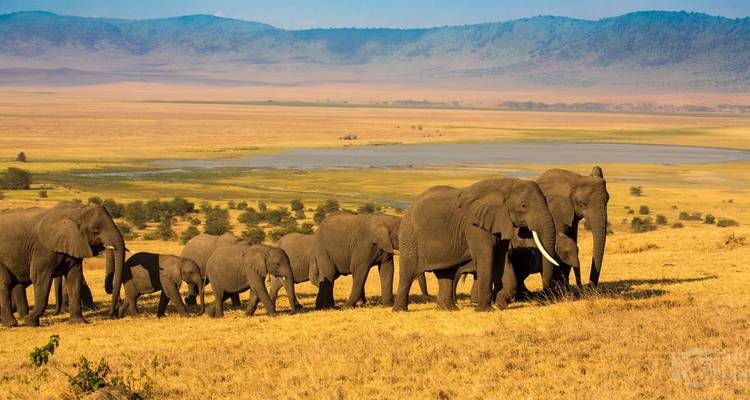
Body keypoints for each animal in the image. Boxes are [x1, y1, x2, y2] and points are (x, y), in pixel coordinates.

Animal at [393, 178, 560, 312]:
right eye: (524, 205)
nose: (545, 297)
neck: (503, 184)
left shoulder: (500, 222)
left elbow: (502, 258)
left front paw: (500, 305)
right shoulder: (474, 226)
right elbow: (486, 257)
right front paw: (485, 310)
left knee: (446, 273)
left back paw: (448, 310)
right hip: (409, 235)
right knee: (408, 272)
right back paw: (400, 310)